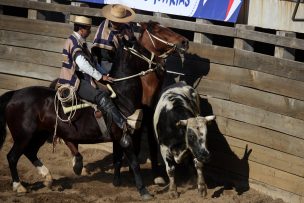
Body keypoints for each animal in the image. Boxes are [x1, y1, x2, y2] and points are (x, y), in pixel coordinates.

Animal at [0, 21, 189, 200]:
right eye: (141, 49)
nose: (159, 64)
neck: (122, 96)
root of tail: (13, 94)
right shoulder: (124, 136)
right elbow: (134, 162)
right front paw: (143, 191)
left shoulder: (121, 137)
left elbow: (118, 158)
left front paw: (118, 181)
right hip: (24, 135)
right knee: (12, 156)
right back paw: (19, 186)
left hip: (39, 134)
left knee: (30, 152)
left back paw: (49, 177)